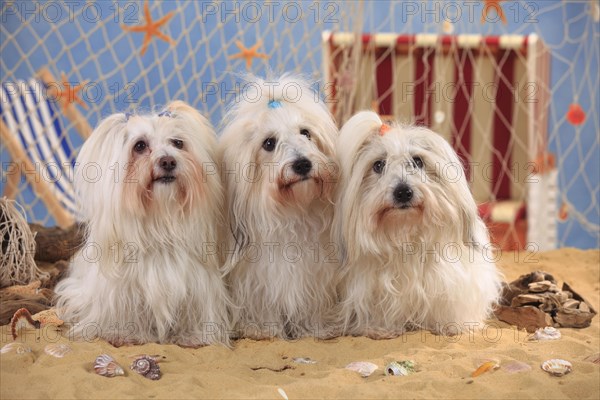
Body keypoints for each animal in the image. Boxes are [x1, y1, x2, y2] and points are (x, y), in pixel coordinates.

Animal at [55, 101, 232, 346]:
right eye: (139, 146)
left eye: (178, 143)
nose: (168, 161)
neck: (160, 222)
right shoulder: (120, 289)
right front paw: (125, 333)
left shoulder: (197, 285)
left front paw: (193, 335)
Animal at [219, 74, 342, 338]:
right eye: (269, 143)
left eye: (305, 133)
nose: (302, 164)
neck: (292, 212)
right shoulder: (259, 282)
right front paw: (264, 329)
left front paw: (317, 327)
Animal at [332, 111, 502, 340]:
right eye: (378, 165)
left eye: (417, 161)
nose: (403, 192)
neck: (405, 234)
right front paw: (380, 328)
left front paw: (451, 326)